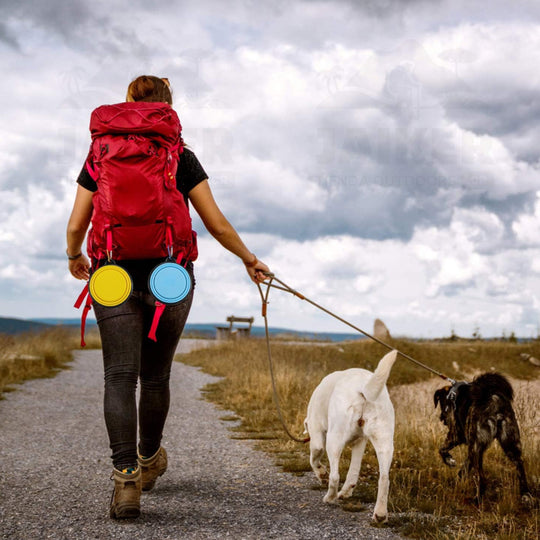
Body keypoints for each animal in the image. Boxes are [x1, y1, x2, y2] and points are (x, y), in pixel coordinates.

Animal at [304, 348, 396, 520]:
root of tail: (362, 388)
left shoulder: (317, 437)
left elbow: (313, 459)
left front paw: (321, 474)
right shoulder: (360, 441)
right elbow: (354, 471)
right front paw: (347, 491)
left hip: (334, 440)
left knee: (335, 477)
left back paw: (330, 497)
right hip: (384, 442)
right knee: (384, 479)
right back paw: (380, 514)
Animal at [434, 372, 532, 502]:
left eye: (442, 404)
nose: (441, 418)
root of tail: (493, 402)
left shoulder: (456, 434)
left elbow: (441, 449)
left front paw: (449, 460)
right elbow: (465, 466)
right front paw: (459, 479)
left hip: (475, 446)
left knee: (481, 477)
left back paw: (477, 499)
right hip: (510, 443)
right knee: (520, 465)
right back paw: (525, 494)